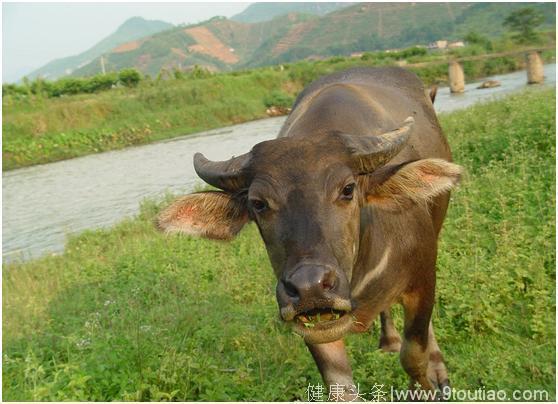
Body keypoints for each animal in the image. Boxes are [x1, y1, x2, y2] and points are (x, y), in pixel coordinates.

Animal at [158, 68, 464, 400]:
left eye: (347, 189)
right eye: (258, 203)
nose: (310, 288)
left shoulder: (423, 281)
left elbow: (413, 356)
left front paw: (427, 383)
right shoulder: (313, 325)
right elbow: (339, 386)